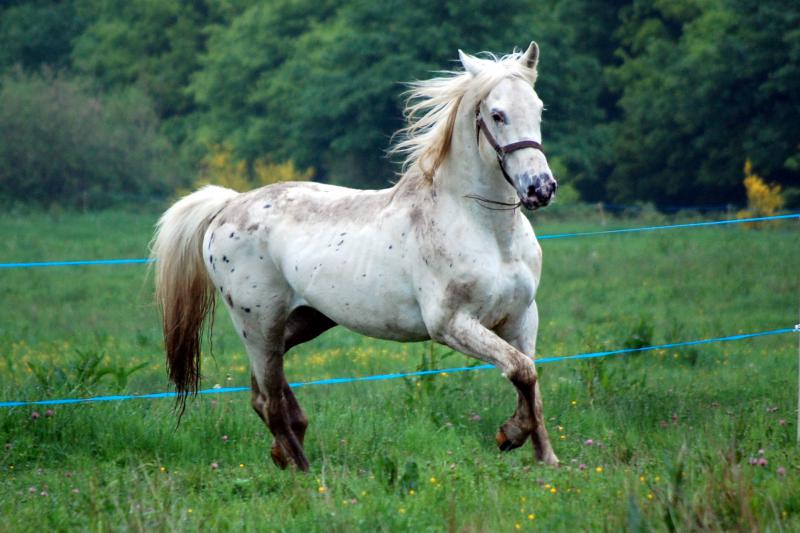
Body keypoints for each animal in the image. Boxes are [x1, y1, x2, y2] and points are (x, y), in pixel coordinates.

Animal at [153, 42, 560, 470]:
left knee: (263, 393)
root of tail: (229, 204)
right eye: (498, 115)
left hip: (302, 321)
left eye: (538, 108)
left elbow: (530, 380)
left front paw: (546, 458)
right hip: (258, 325)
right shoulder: (452, 324)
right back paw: (304, 472)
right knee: (270, 401)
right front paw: (510, 435)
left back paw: (285, 452)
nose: (540, 188)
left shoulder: (521, 318)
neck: (488, 232)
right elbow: (521, 371)